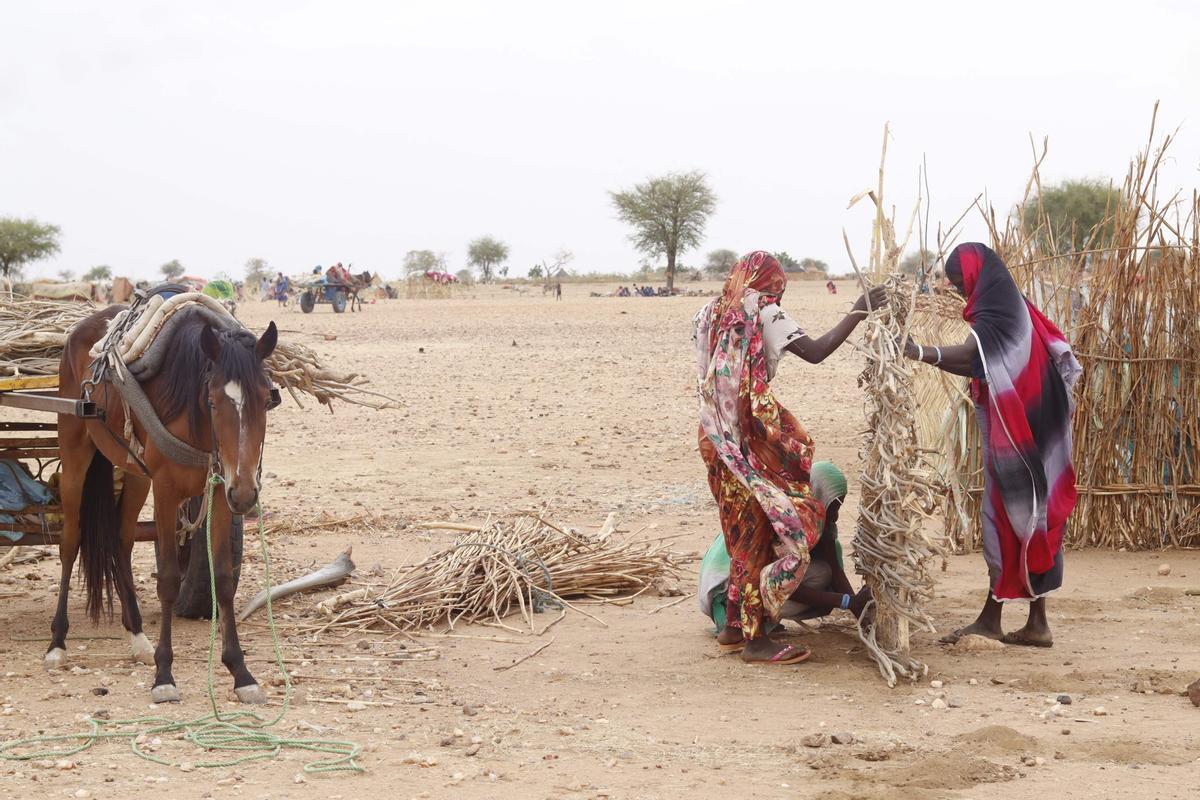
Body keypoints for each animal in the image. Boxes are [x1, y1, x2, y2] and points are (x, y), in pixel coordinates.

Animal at [49, 309, 278, 705]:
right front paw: (164, 674)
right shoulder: (168, 492)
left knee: (121, 540)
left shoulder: (220, 491)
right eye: (213, 402)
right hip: (75, 451)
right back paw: (58, 641)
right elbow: (169, 579)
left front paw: (241, 672)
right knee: (70, 542)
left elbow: (224, 579)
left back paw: (137, 636)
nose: (246, 495)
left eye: (265, 401)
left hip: (136, 472)